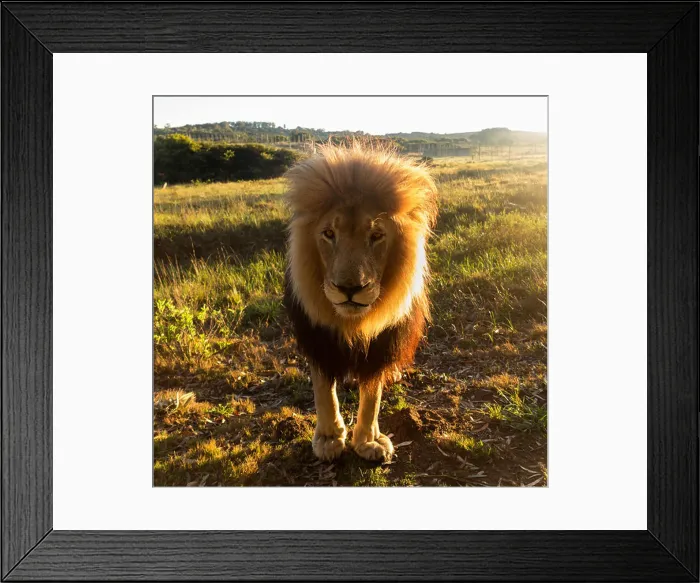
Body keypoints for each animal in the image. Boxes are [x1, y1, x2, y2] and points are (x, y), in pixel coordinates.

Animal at [283, 141, 438, 462]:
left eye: (376, 235)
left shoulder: (383, 341)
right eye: (329, 233)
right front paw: (329, 438)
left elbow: (373, 394)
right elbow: (323, 390)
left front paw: (368, 441)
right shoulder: (318, 336)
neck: (352, 322)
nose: (349, 289)